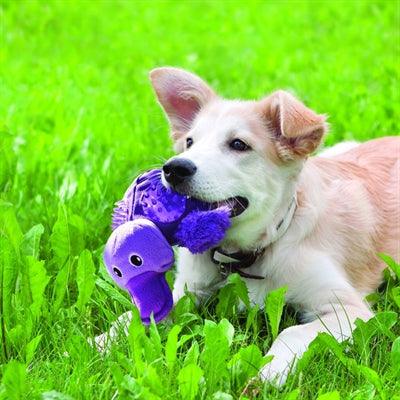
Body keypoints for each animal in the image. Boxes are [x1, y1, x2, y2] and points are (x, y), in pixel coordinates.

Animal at [96, 67, 399, 386]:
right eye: (190, 142)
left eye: (238, 144)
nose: (174, 168)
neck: (249, 253)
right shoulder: (188, 290)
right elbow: (137, 315)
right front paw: (100, 342)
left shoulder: (349, 310)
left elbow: (291, 331)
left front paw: (266, 375)